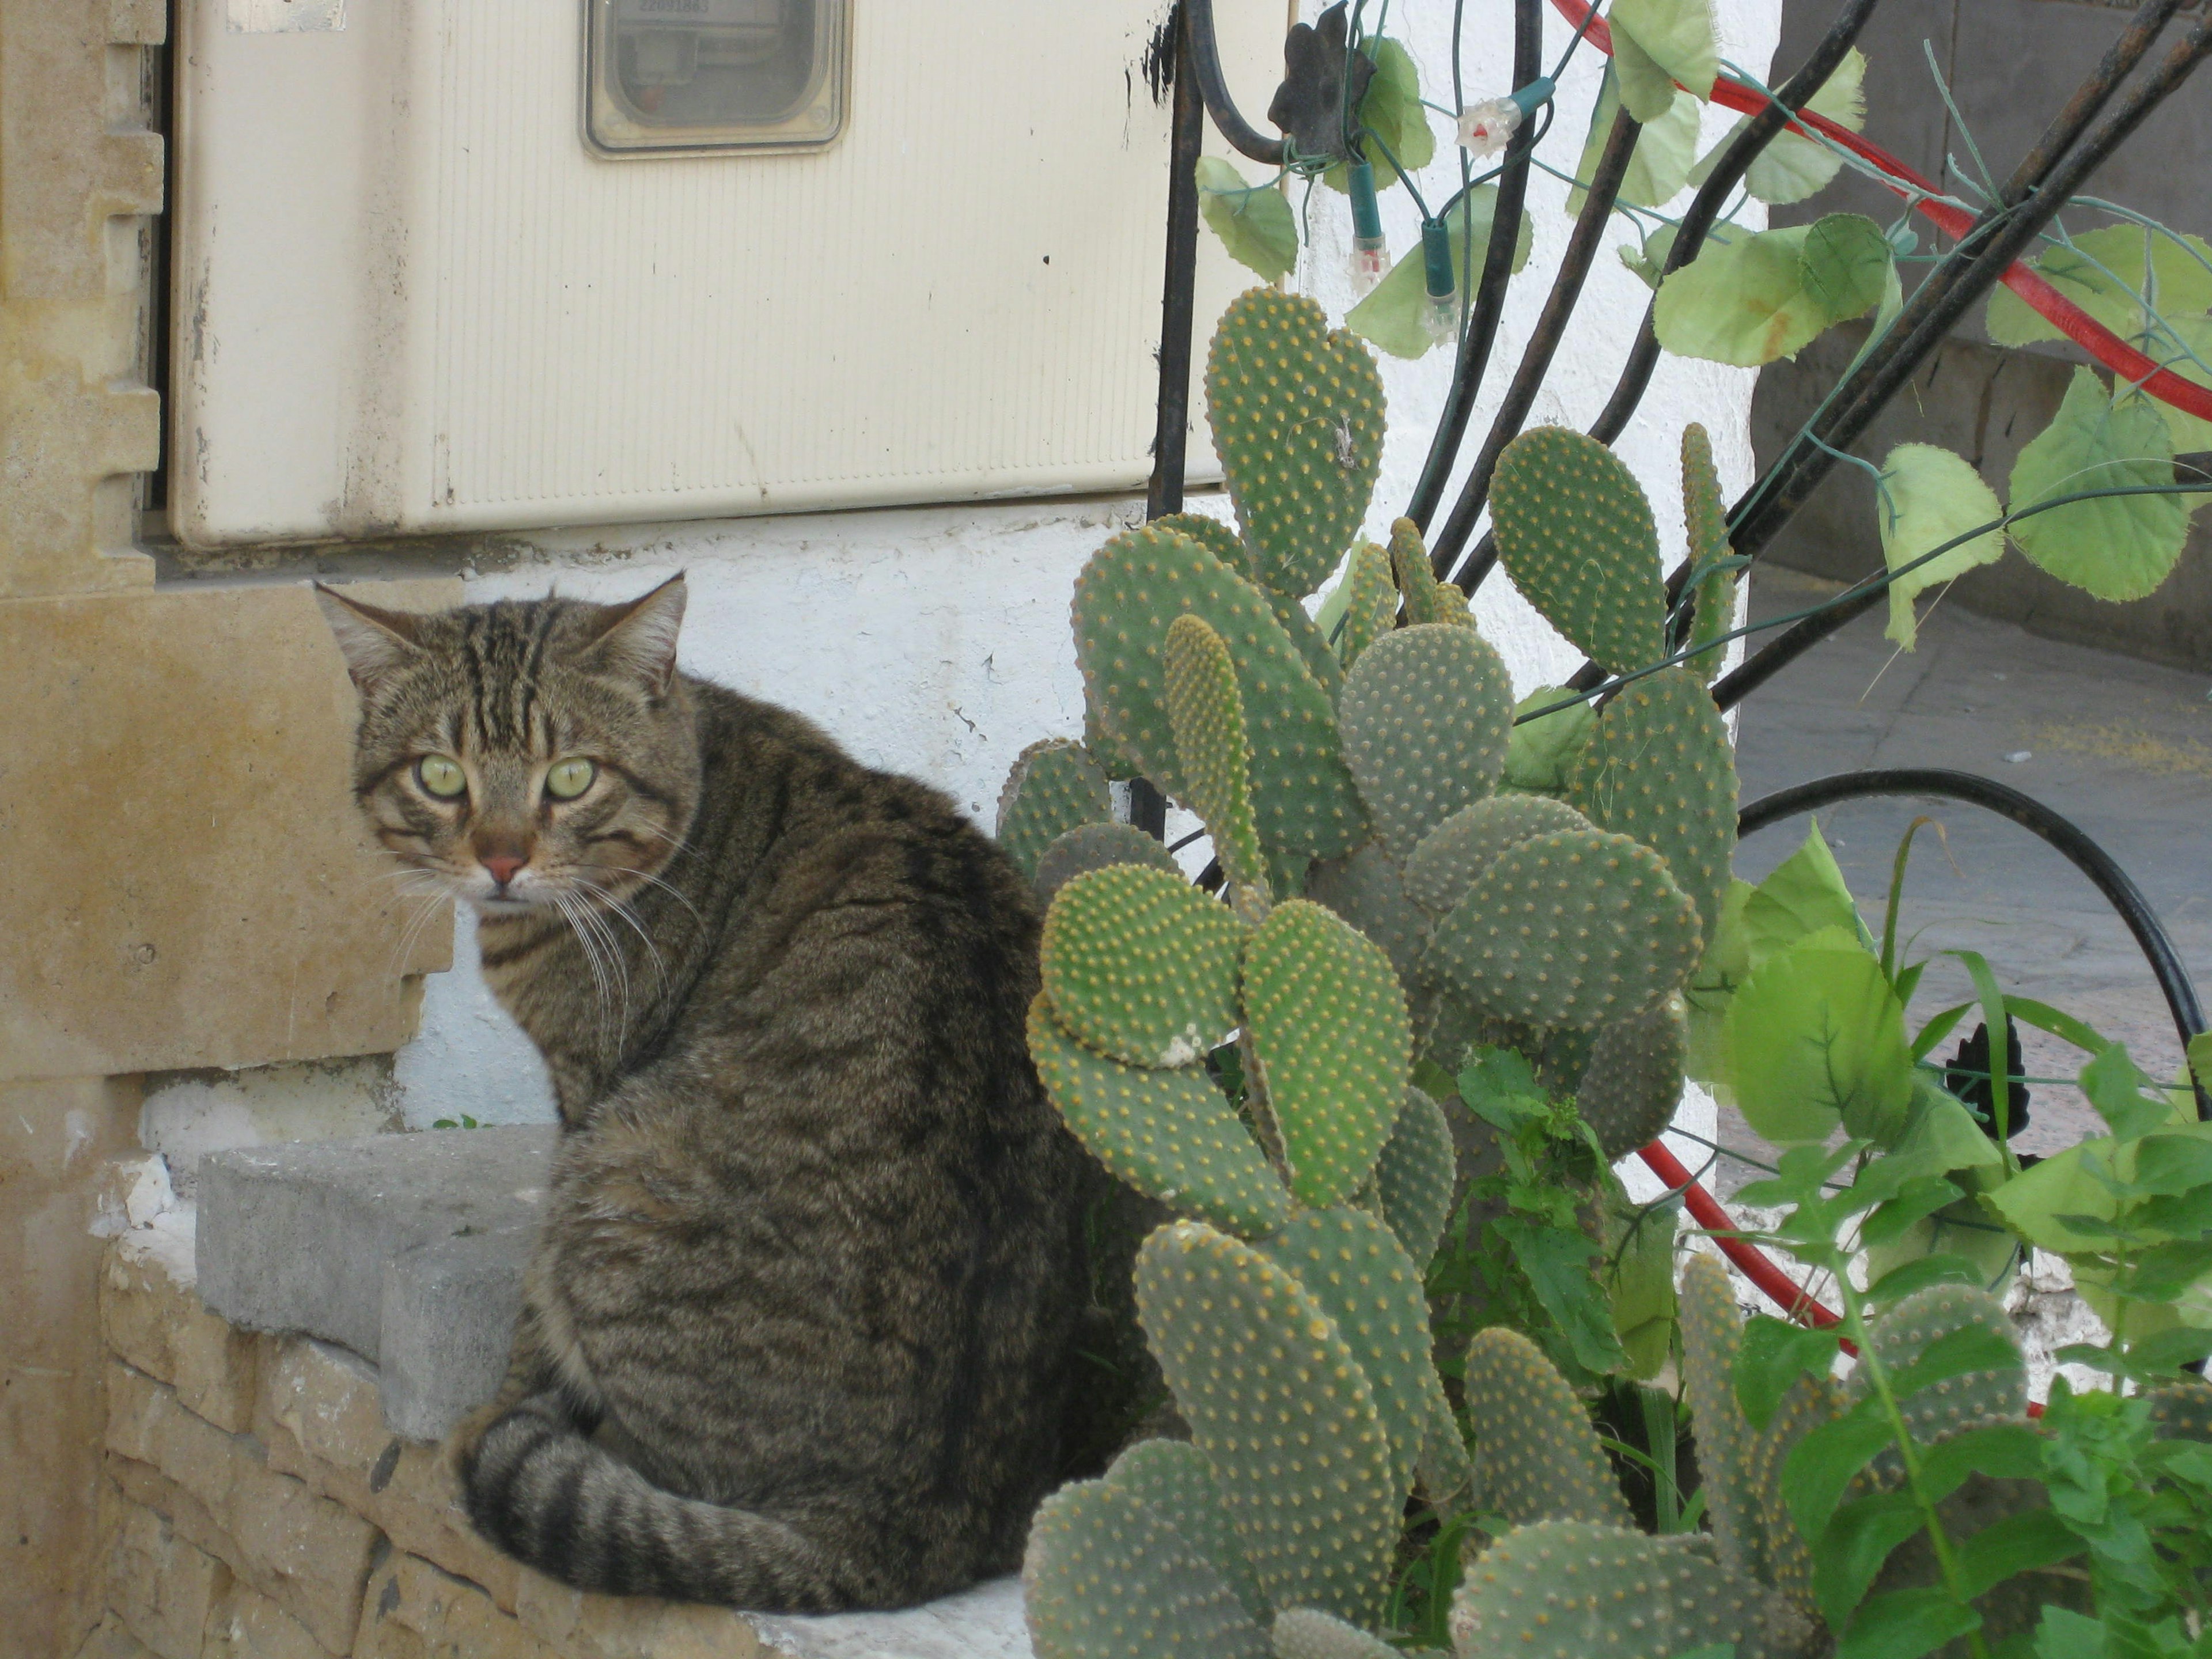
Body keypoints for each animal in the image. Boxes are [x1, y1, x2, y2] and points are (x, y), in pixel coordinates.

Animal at [316, 579, 1092, 1619]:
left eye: (571, 778)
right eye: (441, 776)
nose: (503, 860)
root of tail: (905, 1529)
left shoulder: (585, 1092)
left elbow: (531, 1319)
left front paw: (500, 1402)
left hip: (620, 1168)